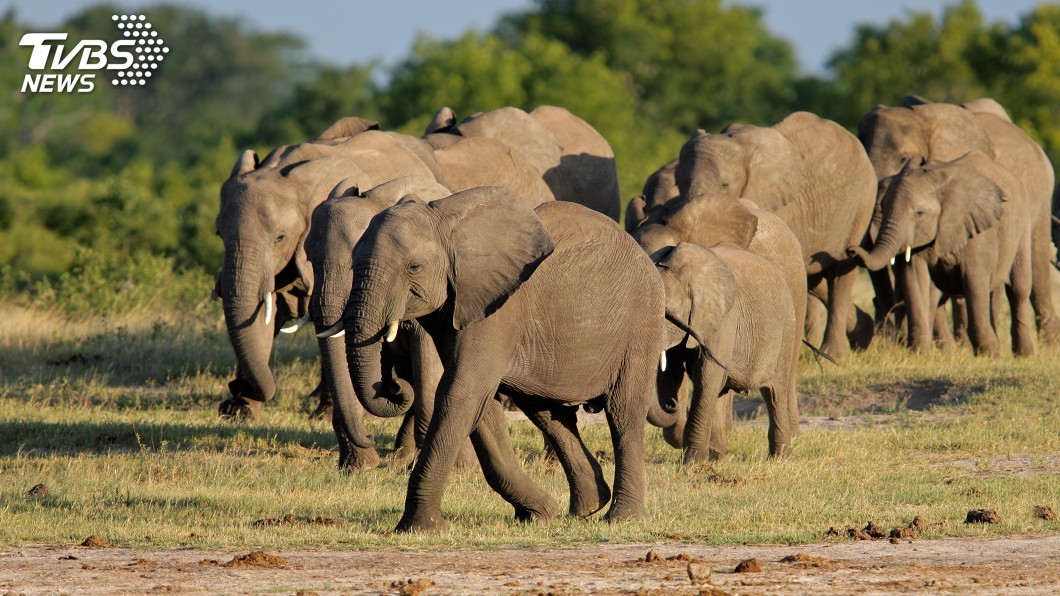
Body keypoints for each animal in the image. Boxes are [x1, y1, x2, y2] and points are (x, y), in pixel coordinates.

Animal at [215, 121, 437, 421]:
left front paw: (325, 414)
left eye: (280, 238)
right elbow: (262, 312)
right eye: (219, 234)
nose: (235, 386)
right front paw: (239, 412)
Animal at [340, 187, 665, 532]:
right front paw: (539, 515)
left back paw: (622, 518)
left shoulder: (496, 311)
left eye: (414, 268)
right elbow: (480, 405)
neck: (445, 223)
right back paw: (588, 506)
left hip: (640, 322)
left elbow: (462, 393)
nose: (395, 385)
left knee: (623, 412)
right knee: (548, 414)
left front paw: (419, 527)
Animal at [654, 243, 800, 461]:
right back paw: (717, 456)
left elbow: (707, 376)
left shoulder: (724, 319)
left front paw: (692, 463)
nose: (672, 404)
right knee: (721, 391)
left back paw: (780, 459)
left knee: (775, 392)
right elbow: (671, 374)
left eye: (669, 313)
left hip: (786, 328)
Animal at [673, 112, 878, 361]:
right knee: (814, 277)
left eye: (725, 184)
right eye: (678, 183)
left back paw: (833, 355)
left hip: (861, 203)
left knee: (841, 273)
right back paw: (862, 336)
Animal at [848, 152, 1035, 357]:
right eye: (883, 206)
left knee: (1018, 288)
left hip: (1022, 225)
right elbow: (914, 278)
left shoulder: (978, 231)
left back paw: (1024, 355)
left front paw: (989, 354)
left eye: (919, 213)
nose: (851, 250)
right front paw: (919, 353)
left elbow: (975, 280)